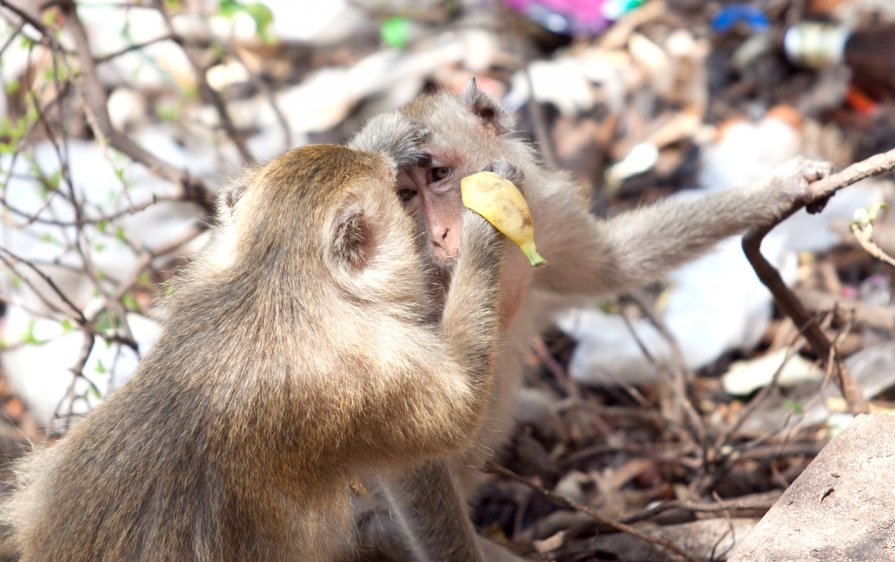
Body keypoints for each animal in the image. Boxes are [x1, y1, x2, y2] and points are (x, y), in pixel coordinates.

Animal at [346, 80, 836, 560]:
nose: (439, 236)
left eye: (437, 175)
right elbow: (412, 442)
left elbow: (611, 264)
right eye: (406, 196)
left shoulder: (545, 218)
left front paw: (778, 187)